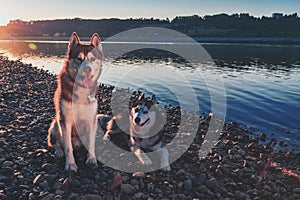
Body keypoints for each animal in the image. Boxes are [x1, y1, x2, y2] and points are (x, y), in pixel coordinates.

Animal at [47, 32, 103, 172]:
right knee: (55, 142)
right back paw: (58, 151)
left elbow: (91, 143)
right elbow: (68, 147)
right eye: (79, 58)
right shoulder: (65, 120)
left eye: (92, 59)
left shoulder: (91, 119)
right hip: (55, 124)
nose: (87, 69)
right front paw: (70, 164)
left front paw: (91, 159)